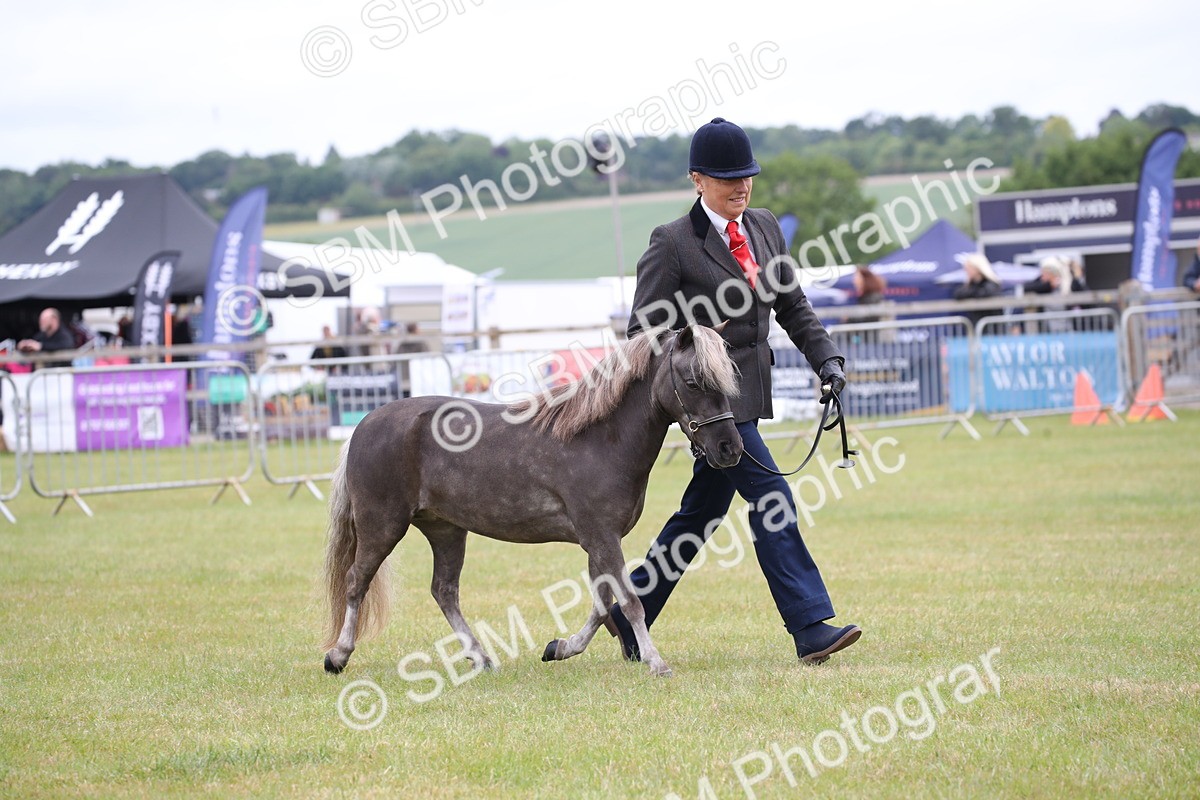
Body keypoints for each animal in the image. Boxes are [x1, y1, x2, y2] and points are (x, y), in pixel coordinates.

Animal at [321, 324, 743, 678]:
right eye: (693, 382)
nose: (730, 448)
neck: (599, 438)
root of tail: (364, 425)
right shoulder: (603, 538)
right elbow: (629, 601)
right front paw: (656, 662)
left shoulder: (598, 542)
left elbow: (602, 603)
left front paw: (561, 647)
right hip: (382, 526)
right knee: (356, 581)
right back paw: (338, 656)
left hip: (445, 530)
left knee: (444, 591)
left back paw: (481, 657)